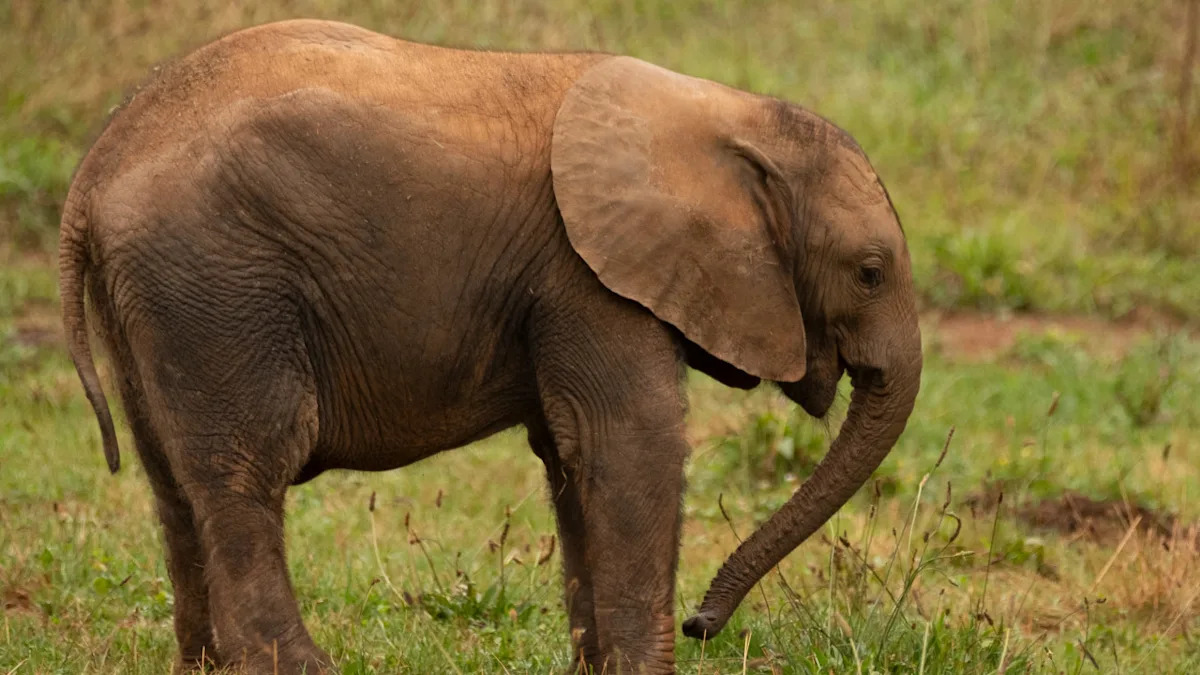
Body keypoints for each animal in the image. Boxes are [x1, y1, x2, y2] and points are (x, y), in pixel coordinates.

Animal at [59, 19, 921, 675]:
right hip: (217, 286)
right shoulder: (586, 274)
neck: (722, 112)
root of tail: (94, 171)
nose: (705, 623)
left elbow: (573, 454)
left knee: (172, 482)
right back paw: (301, 667)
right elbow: (629, 443)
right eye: (870, 272)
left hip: (159, 298)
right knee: (247, 468)